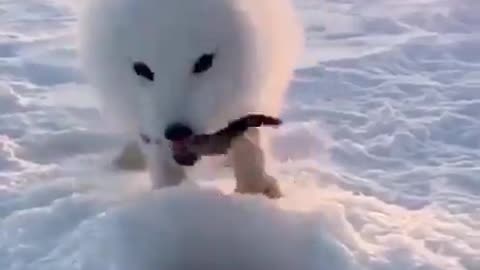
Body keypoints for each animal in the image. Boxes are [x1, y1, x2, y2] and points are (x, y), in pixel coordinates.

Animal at [79, 0, 304, 198]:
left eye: (204, 62)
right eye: (141, 69)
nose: (177, 131)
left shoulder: (252, 97)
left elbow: (249, 142)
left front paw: (257, 192)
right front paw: (169, 195)